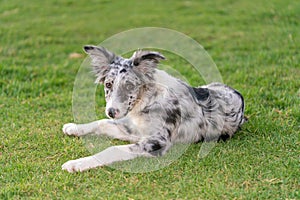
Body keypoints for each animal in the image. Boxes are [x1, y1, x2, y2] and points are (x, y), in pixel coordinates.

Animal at [61, 45, 246, 172]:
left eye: (129, 86)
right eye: (108, 84)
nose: (111, 112)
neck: (149, 99)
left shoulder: (157, 141)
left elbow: (112, 149)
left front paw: (77, 163)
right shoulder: (133, 130)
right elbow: (101, 123)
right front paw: (74, 128)